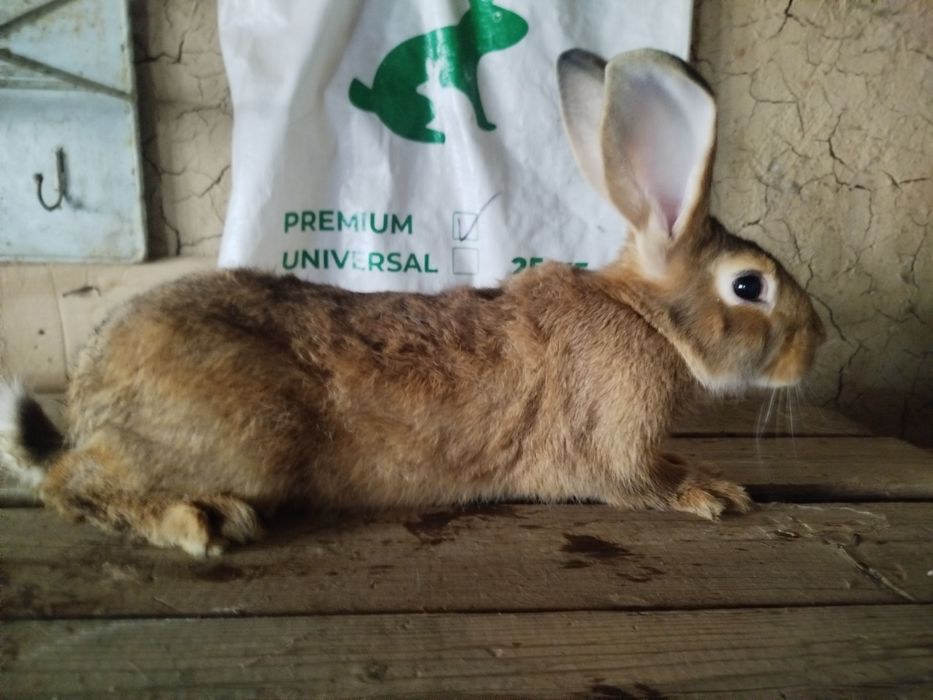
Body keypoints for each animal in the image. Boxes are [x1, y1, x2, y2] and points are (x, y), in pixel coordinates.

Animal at [0, 49, 825, 557]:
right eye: (748, 286)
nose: (816, 343)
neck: (646, 320)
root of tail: (88, 401)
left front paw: (711, 475)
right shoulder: (613, 448)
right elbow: (639, 481)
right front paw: (711, 493)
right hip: (240, 441)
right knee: (74, 486)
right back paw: (197, 518)